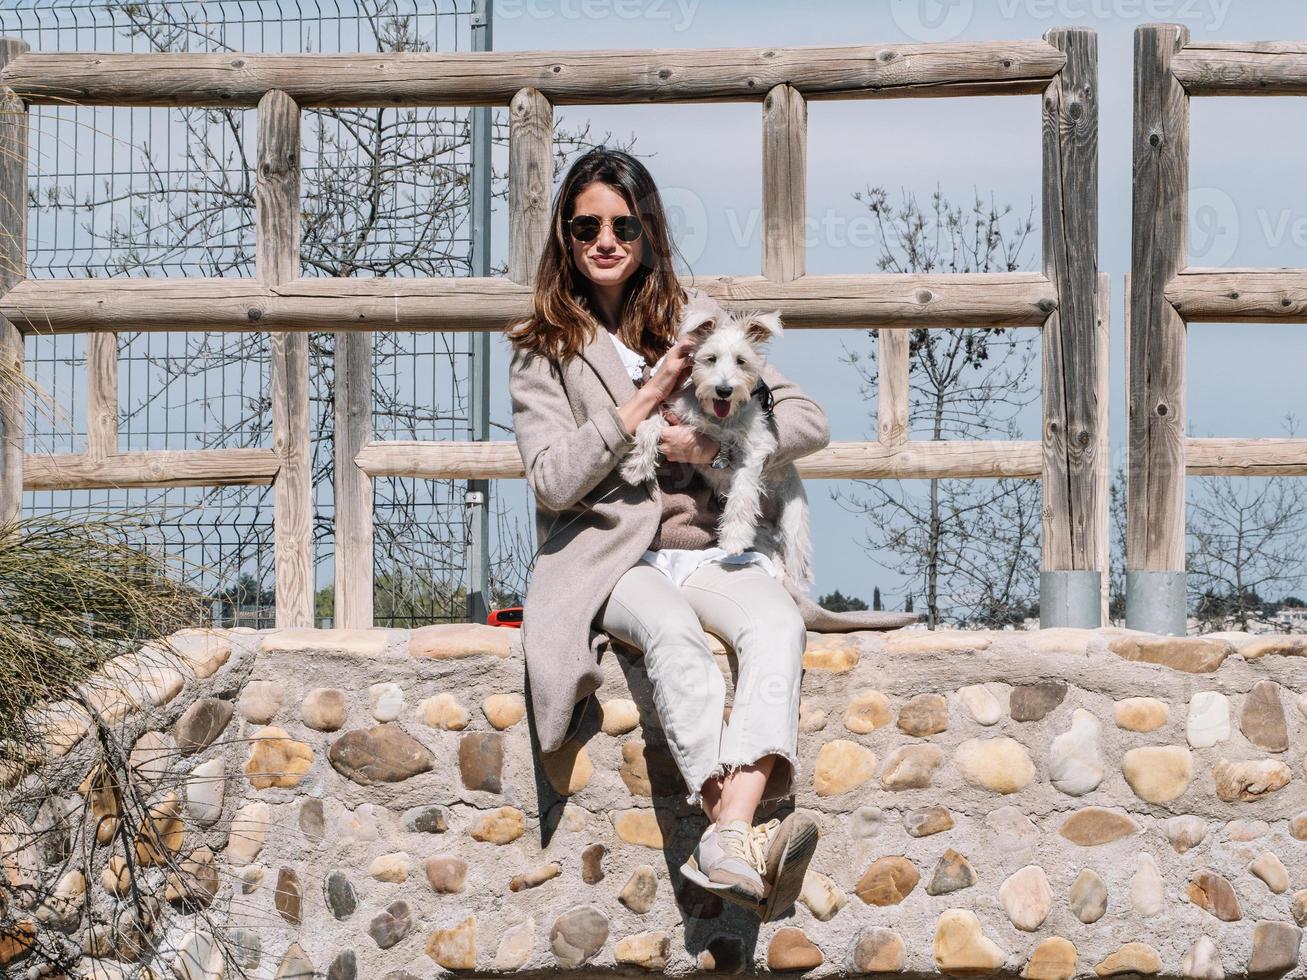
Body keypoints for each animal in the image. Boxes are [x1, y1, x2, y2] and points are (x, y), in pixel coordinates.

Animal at [616, 287, 810, 588]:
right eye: (710, 358)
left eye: (741, 361)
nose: (724, 390)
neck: (719, 419)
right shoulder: (674, 412)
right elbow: (649, 425)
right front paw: (636, 467)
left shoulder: (753, 449)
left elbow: (742, 492)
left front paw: (734, 538)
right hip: (764, 535)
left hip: (793, 522)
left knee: (790, 556)